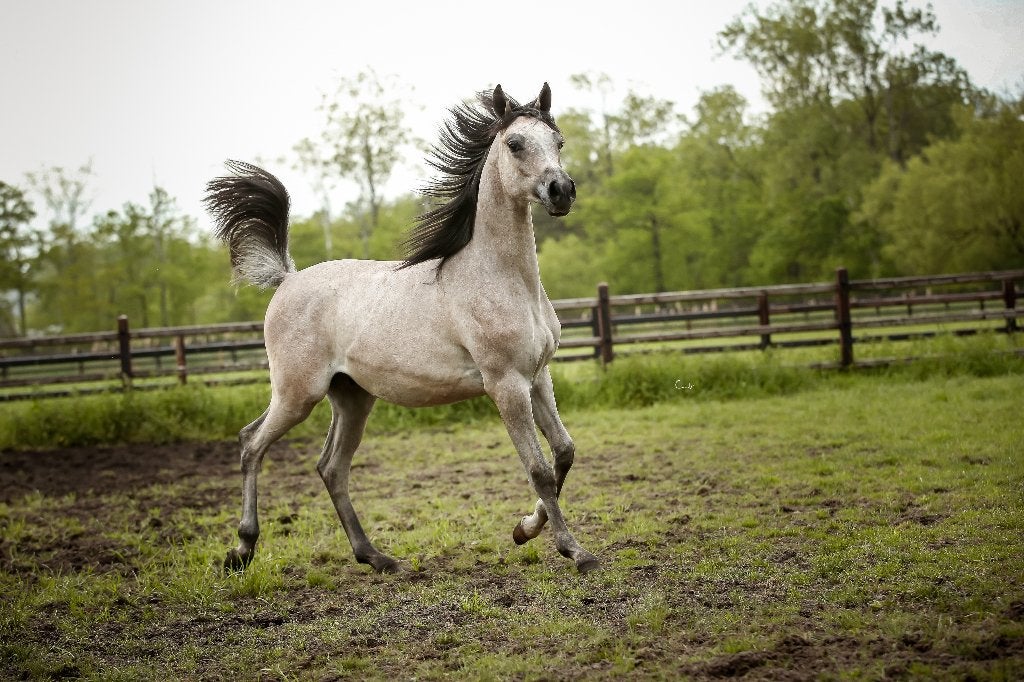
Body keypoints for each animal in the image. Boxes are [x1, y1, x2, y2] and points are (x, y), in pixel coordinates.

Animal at [203, 82, 599, 574]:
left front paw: (524, 530)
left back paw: (376, 557)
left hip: (351, 397)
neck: (500, 279)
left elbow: (564, 452)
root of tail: (288, 279)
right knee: (251, 444)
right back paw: (242, 549)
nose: (561, 190)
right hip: (297, 394)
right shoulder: (506, 385)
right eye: (514, 143)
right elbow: (540, 469)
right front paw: (575, 551)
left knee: (330, 467)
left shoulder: (538, 377)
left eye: (558, 142)